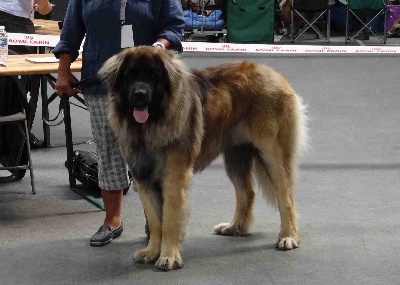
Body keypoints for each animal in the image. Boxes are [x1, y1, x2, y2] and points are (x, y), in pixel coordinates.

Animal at [98, 46, 308, 268]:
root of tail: (275, 75)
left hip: (272, 155)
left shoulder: (174, 178)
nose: (139, 94)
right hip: (235, 157)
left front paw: (169, 256)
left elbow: (169, 219)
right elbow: (155, 221)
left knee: (286, 197)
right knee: (247, 193)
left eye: (153, 76)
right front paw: (152, 251)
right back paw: (233, 227)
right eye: (130, 75)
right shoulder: (144, 178)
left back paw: (288, 237)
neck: (152, 125)